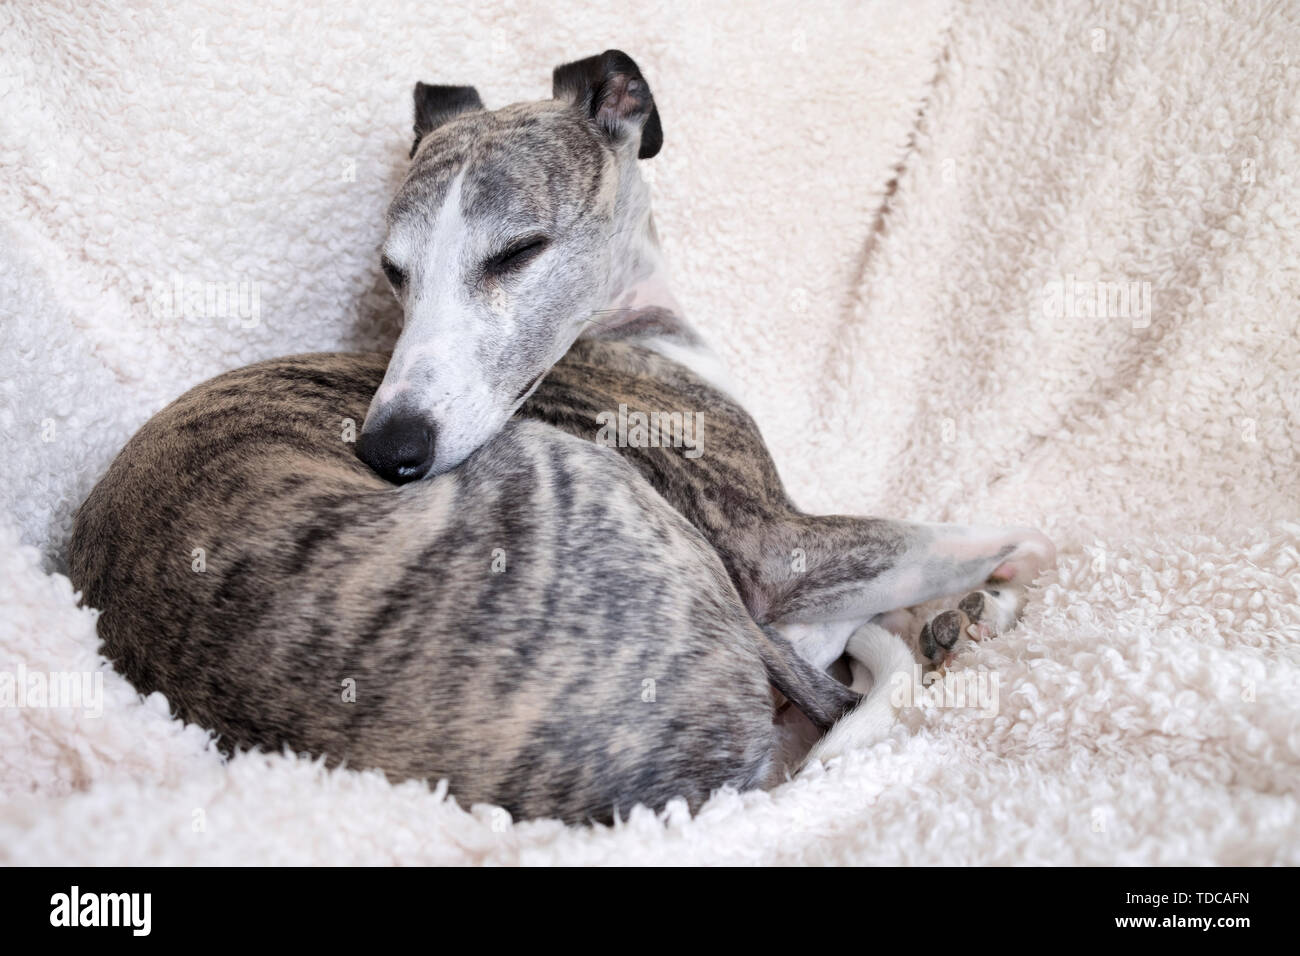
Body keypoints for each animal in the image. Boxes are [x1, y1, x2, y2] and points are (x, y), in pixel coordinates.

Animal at [65, 50, 1050, 822]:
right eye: (395, 270)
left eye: (517, 251)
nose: (389, 452)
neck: (614, 329)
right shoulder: (770, 546)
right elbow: (959, 539)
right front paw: (1000, 571)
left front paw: (955, 613)